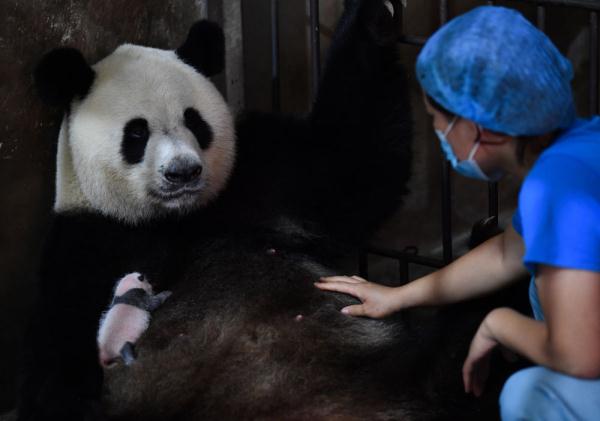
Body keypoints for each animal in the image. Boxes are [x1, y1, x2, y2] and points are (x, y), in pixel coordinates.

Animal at [15, 0, 436, 418]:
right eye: (136, 133)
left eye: (194, 121)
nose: (182, 172)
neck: (175, 218)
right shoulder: (88, 244)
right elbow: (61, 363)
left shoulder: (258, 177)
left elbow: (353, 165)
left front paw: (374, 16)